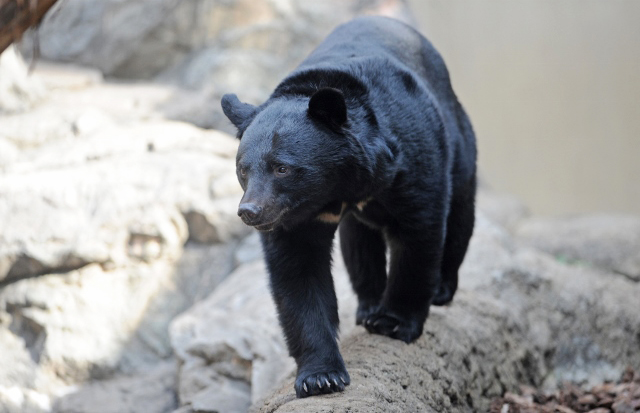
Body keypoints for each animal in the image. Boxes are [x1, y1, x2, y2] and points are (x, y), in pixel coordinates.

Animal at [220, 15, 476, 396]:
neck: (338, 187)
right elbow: (299, 272)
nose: (250, 211)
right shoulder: (294, 217)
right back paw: (368, 304)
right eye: (242, 169)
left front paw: (394, 323)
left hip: (458, 136)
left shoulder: (410, 155)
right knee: (359, 243)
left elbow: (419, 228)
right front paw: (321, 376)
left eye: (282, 168)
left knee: (459, 211)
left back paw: (440, 290)